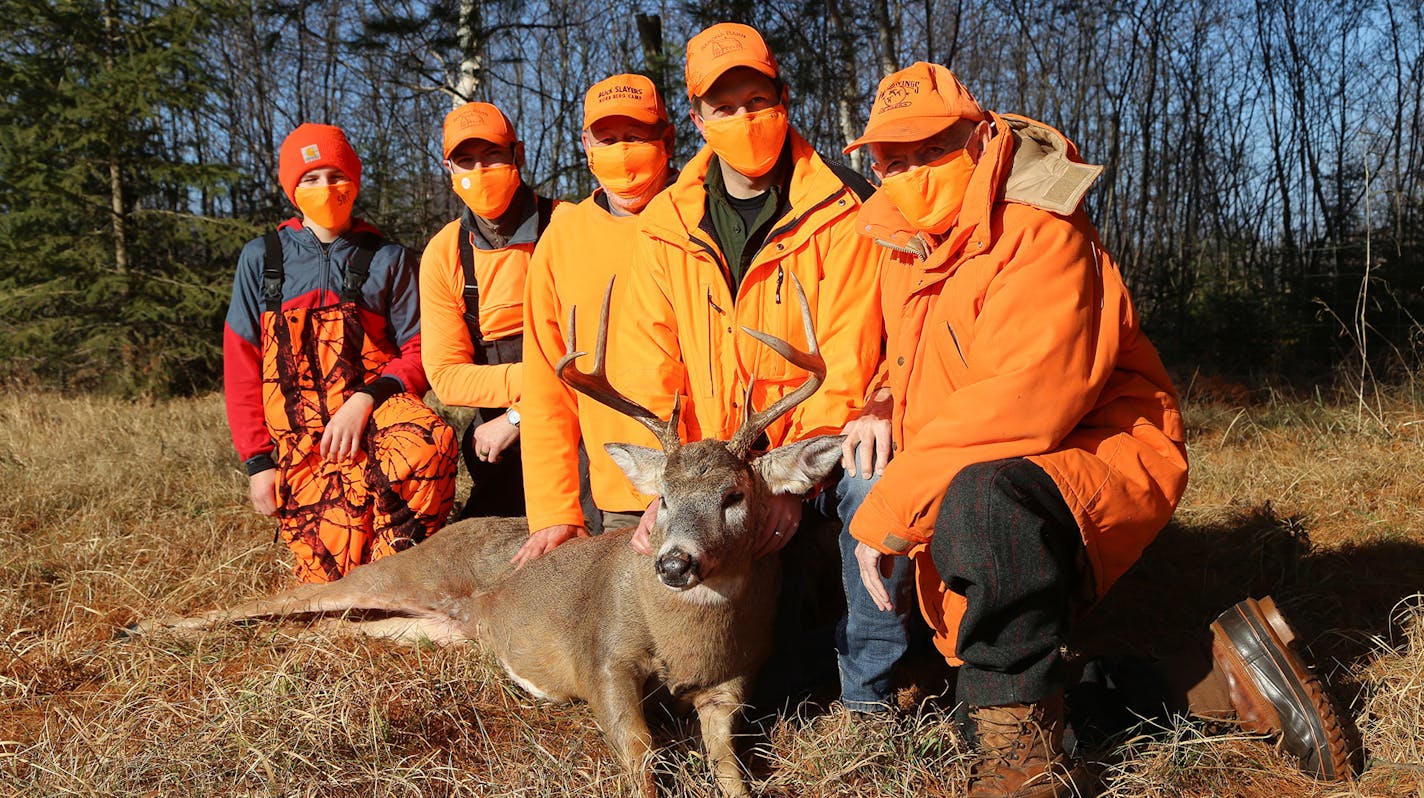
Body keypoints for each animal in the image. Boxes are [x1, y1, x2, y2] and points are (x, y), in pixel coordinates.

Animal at [131, 276, 843, 798]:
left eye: (735, 497)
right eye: (661, 499)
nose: (673, 564)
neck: (687, 641)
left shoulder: (732, 687)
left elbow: (730, 770)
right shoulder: (603, 655)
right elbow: (640, 757)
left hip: (431, 626)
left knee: (336, 628)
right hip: (397, 573)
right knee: (281, 602)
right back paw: (145, 626)